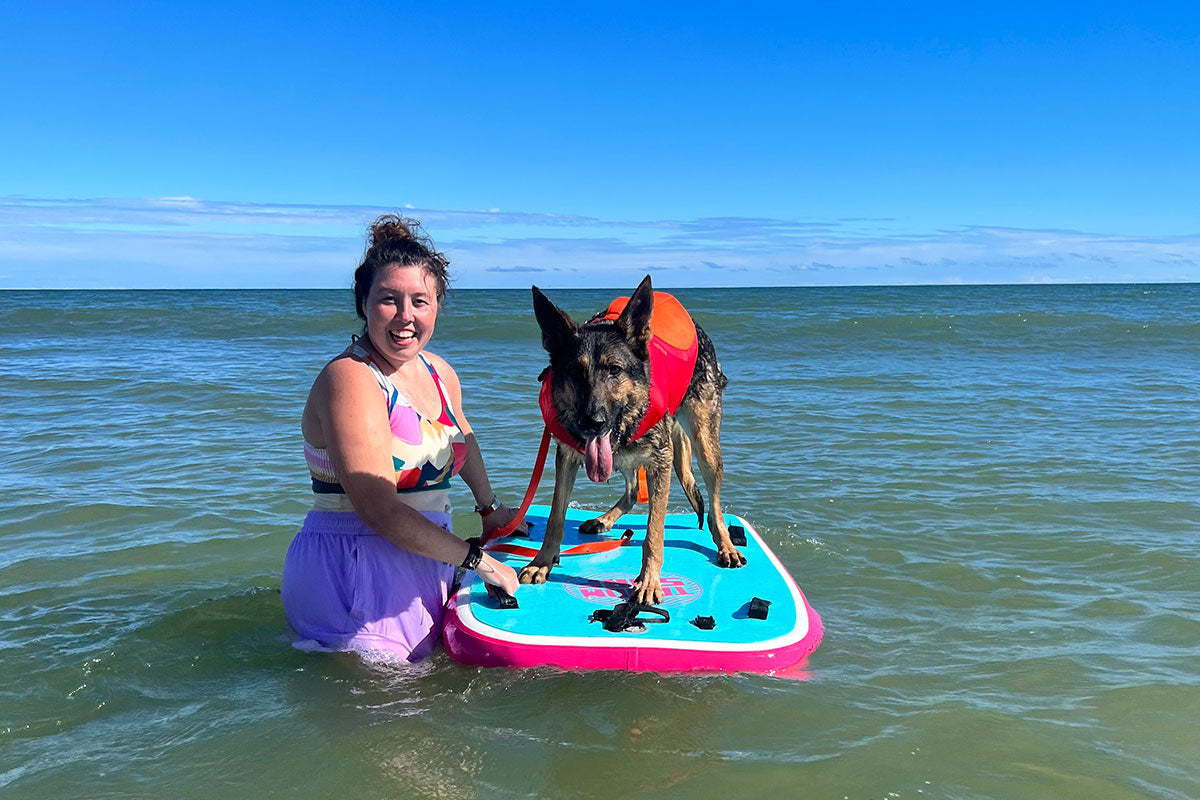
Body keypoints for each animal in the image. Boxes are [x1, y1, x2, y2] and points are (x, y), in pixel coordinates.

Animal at [520, 278, 744, 604]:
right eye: (575, 371)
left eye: (615, 370)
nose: (593, 422)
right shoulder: (568, 457)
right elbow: (555, 518)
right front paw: (542, 562)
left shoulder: (660, 462)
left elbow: (654, 532)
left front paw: (649, 581)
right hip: (628, 457)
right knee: (632, 490)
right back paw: (604, 519)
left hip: (705, 445)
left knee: (714, 505)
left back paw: (726, 545)